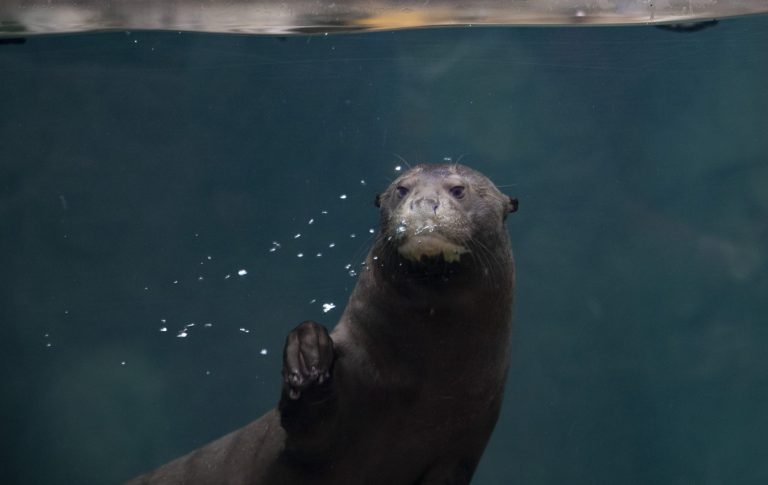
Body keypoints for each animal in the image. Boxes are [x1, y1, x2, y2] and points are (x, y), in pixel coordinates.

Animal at [129, 164, 520, 484]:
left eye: (458, 190)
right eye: (402, 189)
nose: (424, 202)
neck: (418, 382)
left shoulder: (461, 449)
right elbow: (304, 422)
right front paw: (308, 350)